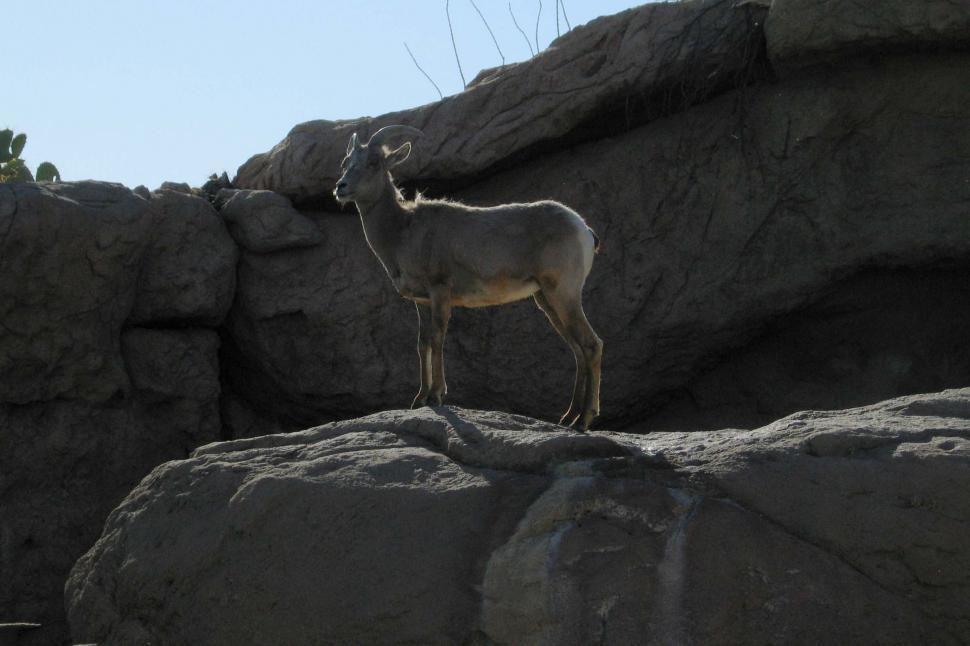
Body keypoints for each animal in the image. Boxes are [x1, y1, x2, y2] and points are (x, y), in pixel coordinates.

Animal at [334, 125, 603, 430]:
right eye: (346, 163)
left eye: (373, 163)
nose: (341, 188)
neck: (402, 231)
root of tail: (583, 229)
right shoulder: (421, 302)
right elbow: (422, 342)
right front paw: (419, 399)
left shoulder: (440, 290)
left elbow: (438, 337)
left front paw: (436, 396)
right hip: (546, 300)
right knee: (577, 349)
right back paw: (568, 418)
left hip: (564, 294)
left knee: (591, 346)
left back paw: (583, 420)